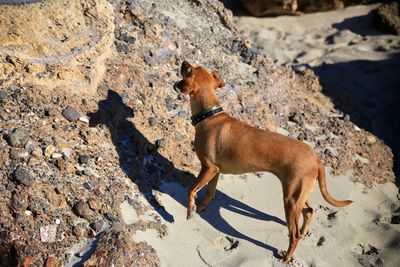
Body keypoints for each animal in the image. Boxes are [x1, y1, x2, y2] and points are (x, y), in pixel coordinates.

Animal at [173, 61, 352, 264]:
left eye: (188, 70)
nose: (183, 62)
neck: (209, 116)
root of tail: (316, 159)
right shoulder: (215, 171)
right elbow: (209, 193)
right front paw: (200, 207)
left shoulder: (208, 167)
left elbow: (191, 190)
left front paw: (190, 210)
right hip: (298, 194)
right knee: (309, 211)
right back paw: (305, 233)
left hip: (290, 200)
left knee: (294, 234)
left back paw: (286, 258)